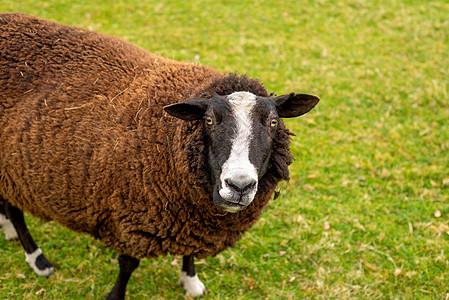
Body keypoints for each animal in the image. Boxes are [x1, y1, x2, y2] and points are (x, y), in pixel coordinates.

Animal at [0, 12, 318, 298]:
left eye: (273, 122)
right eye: (209, 120)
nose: (239, 186)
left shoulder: (193, 220)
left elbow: (190, 252)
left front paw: (191, 281)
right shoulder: (130, 218)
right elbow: (128, 265)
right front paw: (115, 295)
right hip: (10, 168)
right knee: (16, 209)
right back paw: (38, 259)